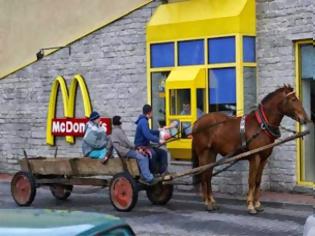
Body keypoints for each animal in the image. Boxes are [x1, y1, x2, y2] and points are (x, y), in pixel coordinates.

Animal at [191, 85, 310, 214]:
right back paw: (208, 203)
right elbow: (251, 181)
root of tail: (197, 122)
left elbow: (258, 181)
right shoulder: (255, 157)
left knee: (208, 175)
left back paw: (212, 201)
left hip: (212, 153)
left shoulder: (264, 158)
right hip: (204, 153)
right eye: (293, 99)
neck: (261, 125)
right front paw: (250, 205)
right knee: (204, 175)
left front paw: (257, 204)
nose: (305, 118)